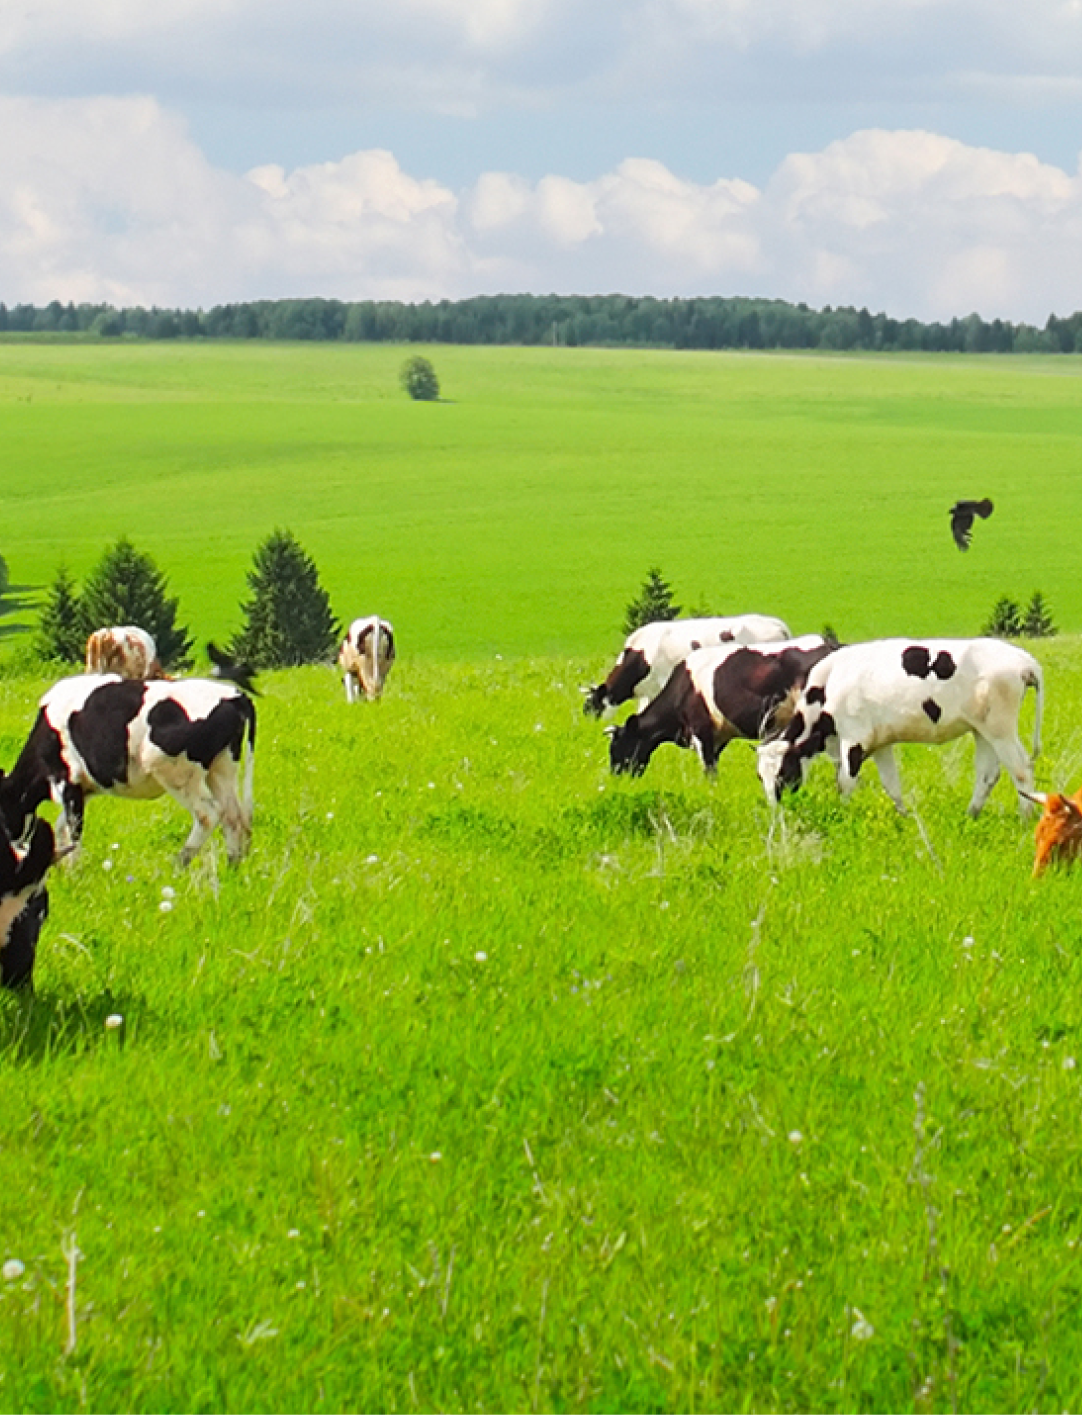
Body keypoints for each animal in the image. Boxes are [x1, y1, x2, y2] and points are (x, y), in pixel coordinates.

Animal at [0, 670, 257, 860]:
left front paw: (74, 875)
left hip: (176, 772)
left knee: (208, 815)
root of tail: (234, 694)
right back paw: (233, 867)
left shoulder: (67, 780)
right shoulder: (83, 789)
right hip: (222, 768)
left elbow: (73, 830)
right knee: (234, 818)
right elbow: (62, 827)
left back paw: (178, 865)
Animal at [758, 636, 1040, 815]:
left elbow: (845, 783)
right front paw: (903, 817)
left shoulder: (854, 740)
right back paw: (971, 814)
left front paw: (843, 816)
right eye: (761, 776)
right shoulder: (880, 745)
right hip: (984, 732)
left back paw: (1025, 818)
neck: (830, 683)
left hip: (1001, 731)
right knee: (988, 774)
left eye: (784, 772)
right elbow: (891, 785)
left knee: (1021, 769)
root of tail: (1024, 661)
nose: (775, 810)